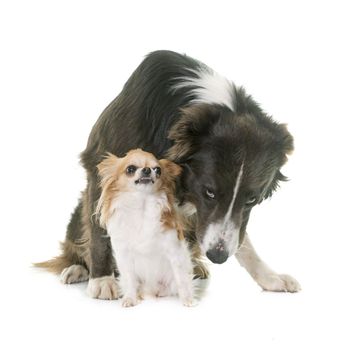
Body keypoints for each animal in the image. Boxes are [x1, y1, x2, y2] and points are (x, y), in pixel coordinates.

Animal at [38, 50, 300, 298]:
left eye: (252, 199)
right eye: (209, 192)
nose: (218, 256)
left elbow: (242, 241)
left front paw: (269, 277)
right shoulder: (101, 164)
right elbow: (99, 229)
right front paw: (101, 280)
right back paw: (79, 268)